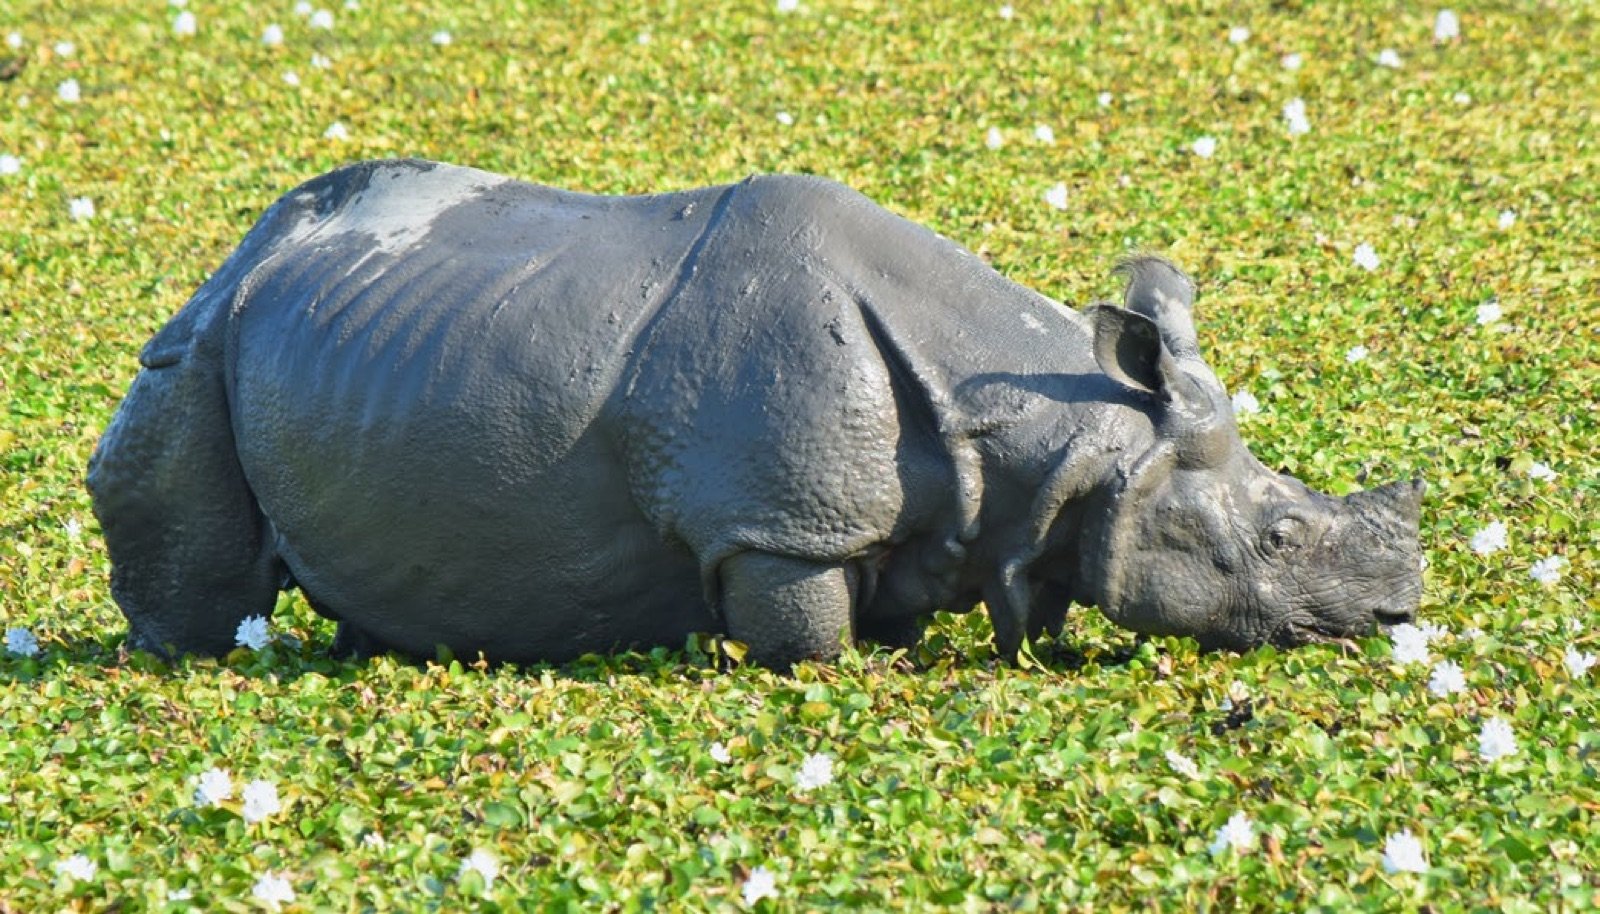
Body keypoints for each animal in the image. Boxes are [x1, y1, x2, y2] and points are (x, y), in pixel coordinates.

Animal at [88, 159, 1424, 669]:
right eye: (1277, 537)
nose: (1399, 613)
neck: (1065, 439)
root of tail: (252, 244)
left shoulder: (949, 514)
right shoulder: (777, 522)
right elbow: (812, 645)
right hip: (199, 347)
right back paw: (182, 654)